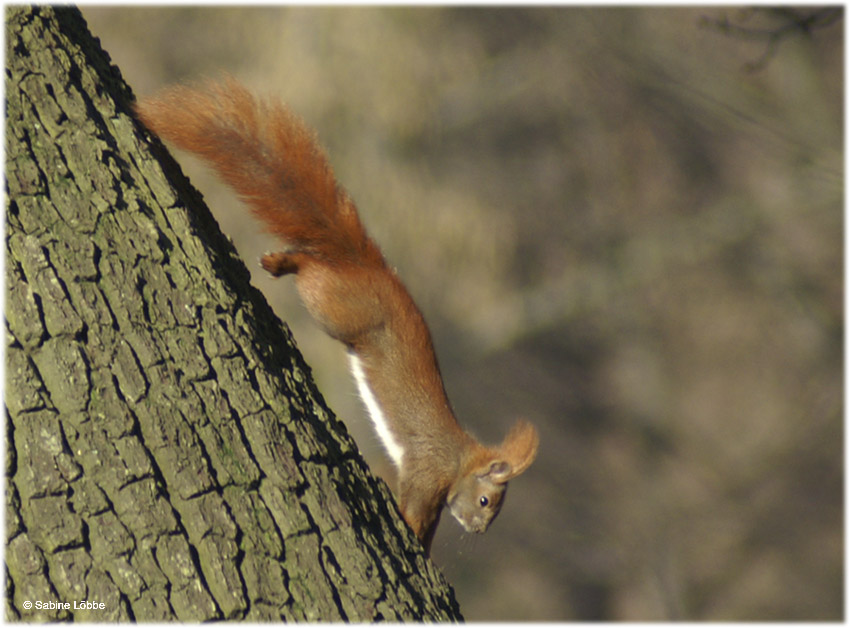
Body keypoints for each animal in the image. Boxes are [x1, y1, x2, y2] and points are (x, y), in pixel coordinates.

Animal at [136, 77, 540, 556]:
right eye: (485, 500)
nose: (479, 531)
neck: (459, 458)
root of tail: (364, 264)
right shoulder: (428, 472)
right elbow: (415, 512)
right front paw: (415, 540)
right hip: (337, 308)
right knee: (311, 267)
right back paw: (284, 262)